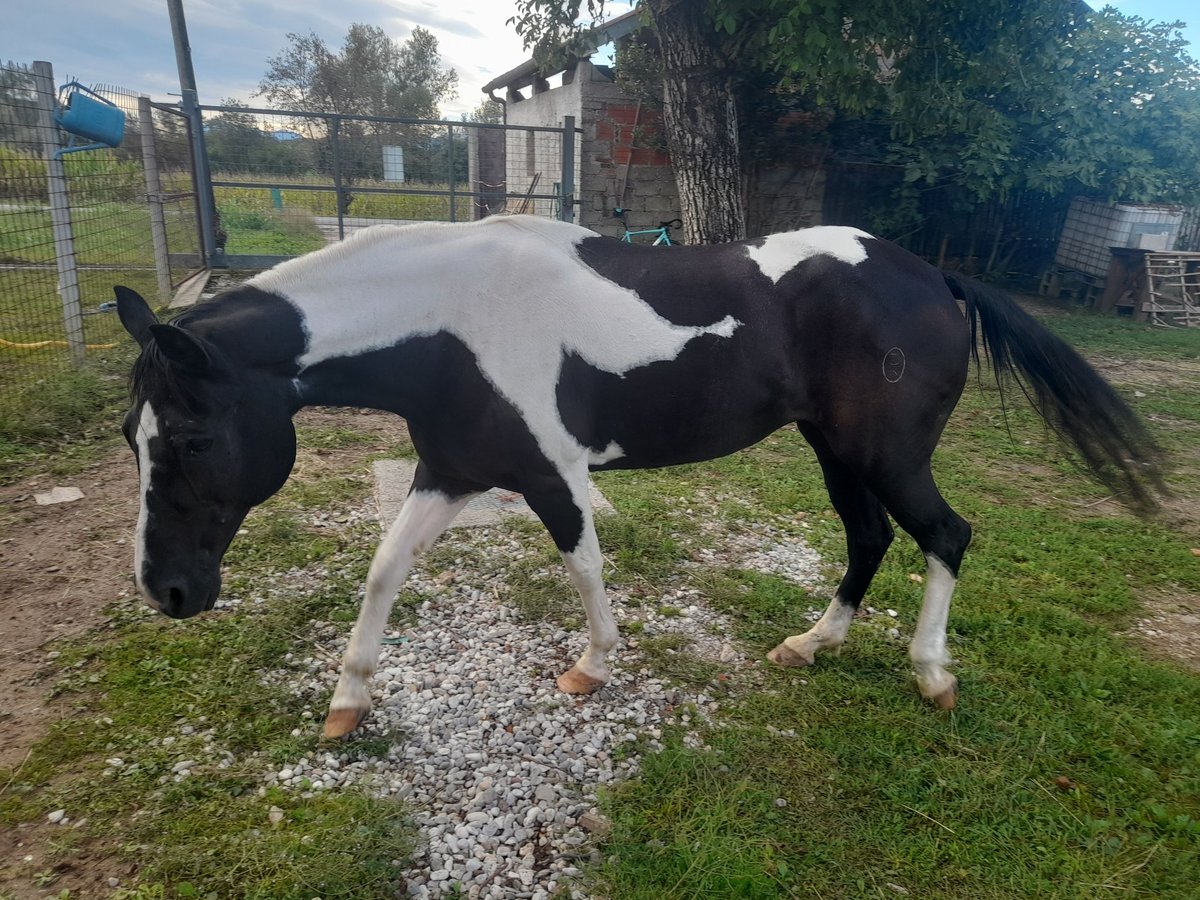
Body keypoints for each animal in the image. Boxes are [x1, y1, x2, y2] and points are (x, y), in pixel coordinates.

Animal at [114, 214, 1161, 734]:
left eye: (192, 442)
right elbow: (382, 575)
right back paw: (809, 646)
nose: (168, 591)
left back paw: (933, 676)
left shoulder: (550, 476)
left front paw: (590, 668)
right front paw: (348, 704)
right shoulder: (449, 473)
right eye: (133, 433)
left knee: (945, 535)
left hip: (885, 454)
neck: (447, 323)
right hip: (835, 452)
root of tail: (935, 277)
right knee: (869, 538)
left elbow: (584, 568)